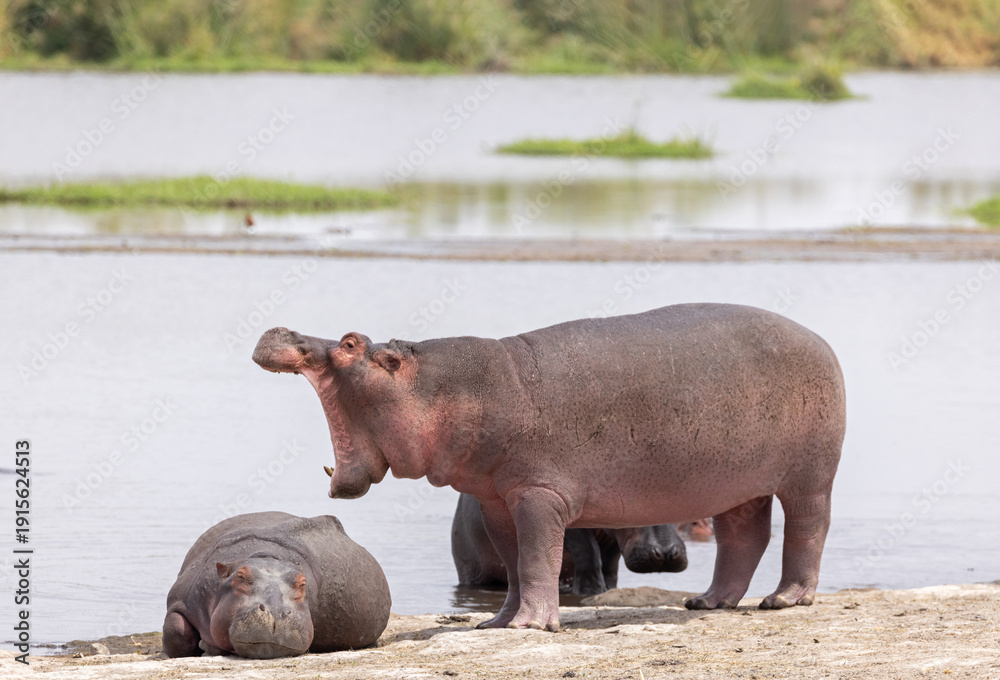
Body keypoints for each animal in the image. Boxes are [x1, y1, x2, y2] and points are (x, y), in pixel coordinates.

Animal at [163, 512, 391, 658]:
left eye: (302, 583)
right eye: (240, 576)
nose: (275, 612)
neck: (266, 557)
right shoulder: (180, 599)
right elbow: (177, 631)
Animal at [452, 492, 688, 595]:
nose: (665, 554)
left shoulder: (612, 536)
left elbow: (609, 564)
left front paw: (607, 590)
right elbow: (588, 552)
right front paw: (591, 591)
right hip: (473, 572)